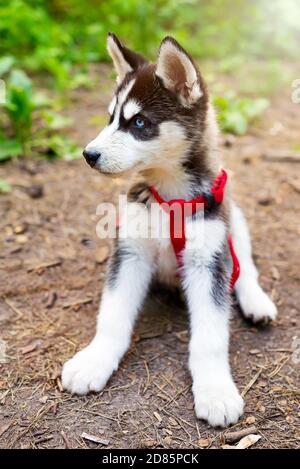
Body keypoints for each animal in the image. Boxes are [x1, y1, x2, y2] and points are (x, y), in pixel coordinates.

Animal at [62, 33, 278, 428]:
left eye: (139, 123)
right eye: (110, 118)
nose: (88, 154)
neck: (170, 199)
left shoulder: (208, 262)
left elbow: (210, 337)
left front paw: (215, 390)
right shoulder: (129, 253)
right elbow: (112, 317)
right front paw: (94, 361)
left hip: (234, 222)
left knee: (245, 269)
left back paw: (256, 301)